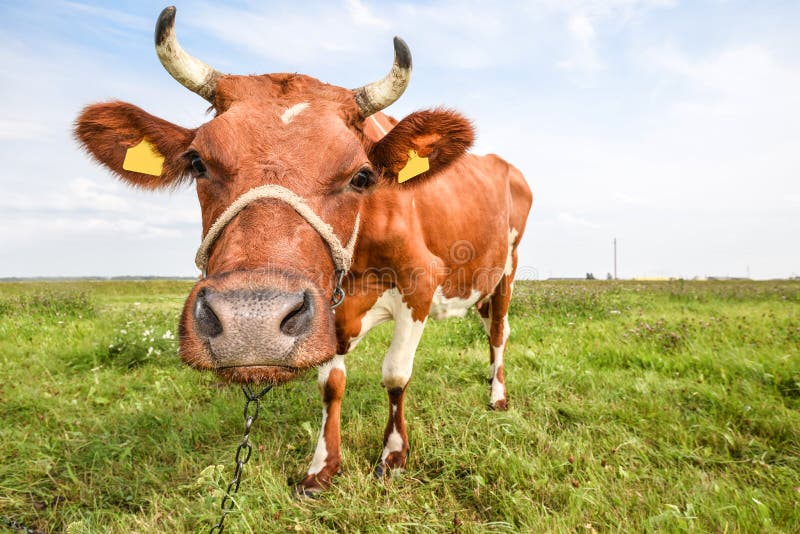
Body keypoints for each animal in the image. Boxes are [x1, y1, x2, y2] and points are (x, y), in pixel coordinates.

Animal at [73, 6, 532, 496]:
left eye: (362, 175)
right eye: (198, 162)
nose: (250, 323)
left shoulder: (420, 281)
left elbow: (395, 373)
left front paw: (392, 455)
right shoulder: (329, 313)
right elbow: (331, 383)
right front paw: (322, 468)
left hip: (507, 270)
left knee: (498, 332)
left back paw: (497, 396)